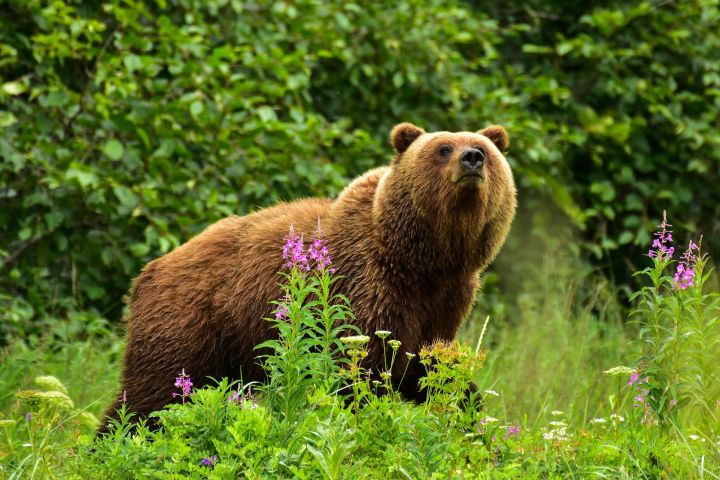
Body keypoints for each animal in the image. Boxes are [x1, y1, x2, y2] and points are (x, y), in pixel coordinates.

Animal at [99, 122, 516, 432]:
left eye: (484, 147)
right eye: (444, 148)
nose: (472, 158)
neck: (423, 259)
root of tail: (152, 268)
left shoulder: (446, 299)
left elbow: (428, 364)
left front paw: (469, 408)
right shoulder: (369, 286)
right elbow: (360, 370)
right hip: (191, 319)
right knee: (153, 394)